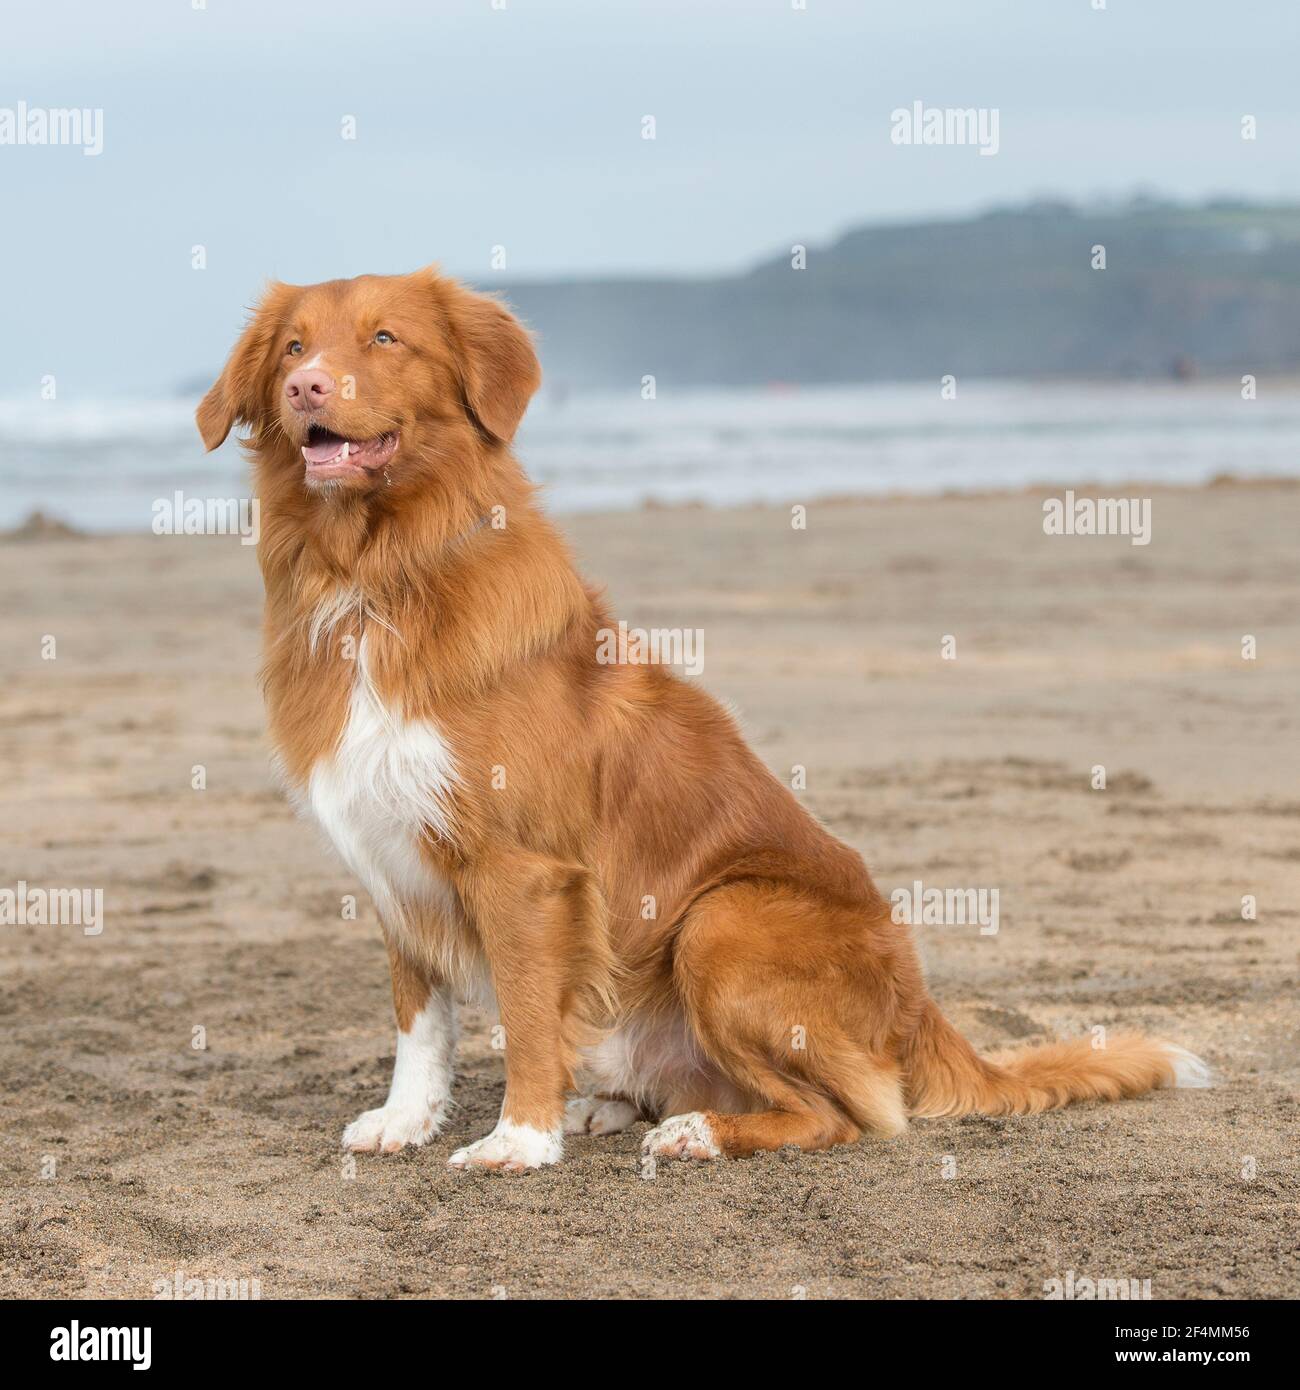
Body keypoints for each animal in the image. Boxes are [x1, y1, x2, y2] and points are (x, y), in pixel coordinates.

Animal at [196, 265, 1212, 1167]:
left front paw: (519, 1139)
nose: (305, 386)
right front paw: (407, 1121)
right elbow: (421, 1018)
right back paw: (614, 1106)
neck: (377, 577)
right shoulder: (392, 857)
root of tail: (922, 1006)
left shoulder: (522, 869)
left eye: (384, 339)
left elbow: (523, 1014)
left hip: (721, 920)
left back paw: (696, 1133)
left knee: (849, 1115)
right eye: (293, 347)